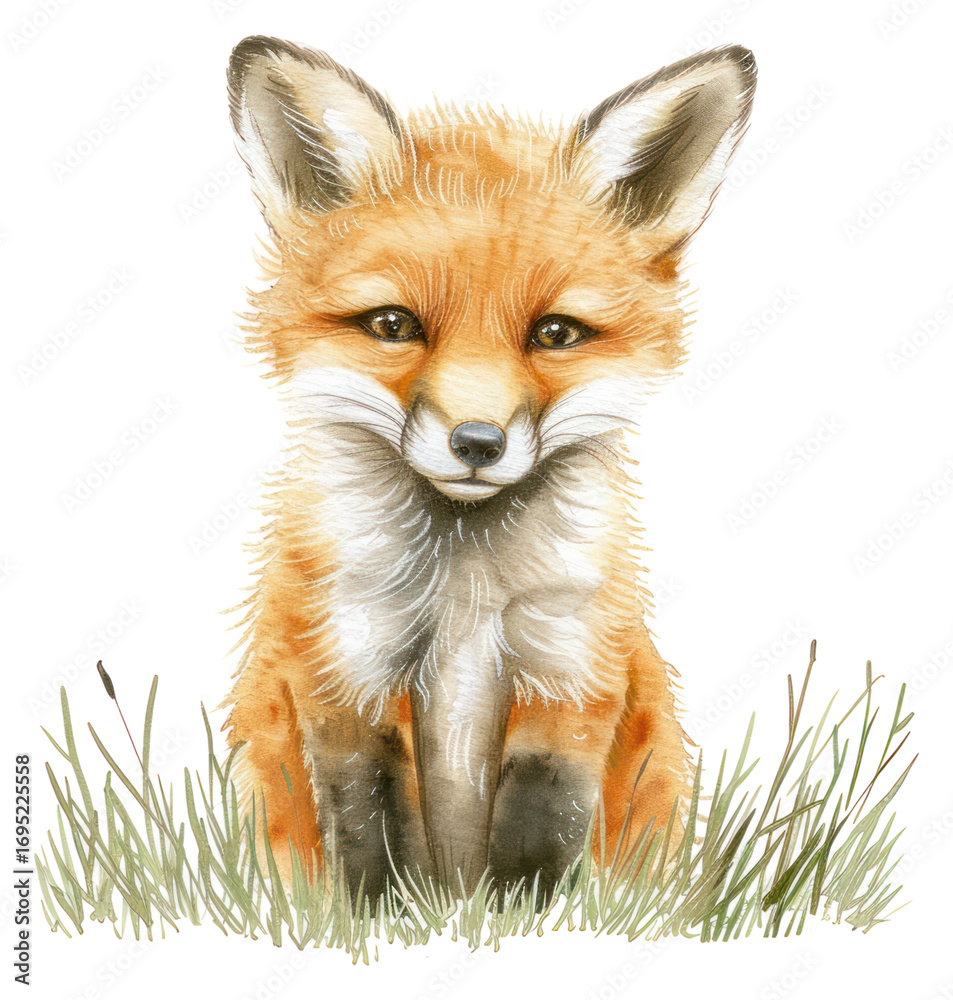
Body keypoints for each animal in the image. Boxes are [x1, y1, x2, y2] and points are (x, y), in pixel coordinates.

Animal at [222, 35, 756, 900]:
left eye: (555, 333)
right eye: (393, 325)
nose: (477, 443)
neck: (463, 597)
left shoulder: (567, 674)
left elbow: (534, 848)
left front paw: (509, 922)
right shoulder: (346, 676)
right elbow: (374, 846)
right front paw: (398, 919)